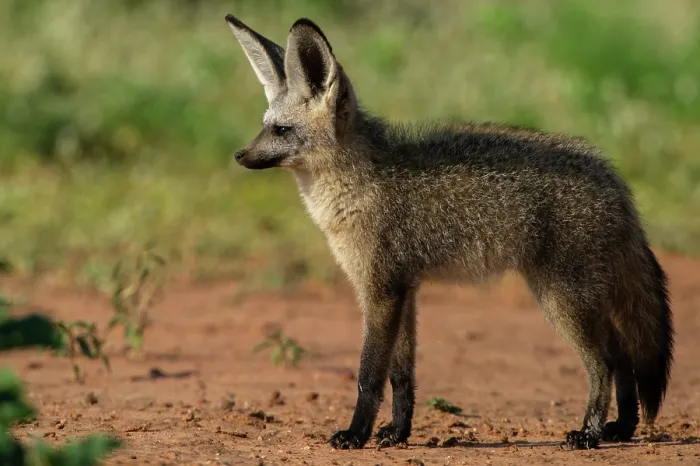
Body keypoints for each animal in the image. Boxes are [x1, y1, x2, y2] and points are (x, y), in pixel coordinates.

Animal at [224, 14, 674, 450]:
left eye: (281, 130)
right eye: (265, 126)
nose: (239, 155)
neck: (358, 187)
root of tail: (614, 180)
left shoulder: (380, 291)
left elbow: (369, 376)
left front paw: (356, 435)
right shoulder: (404, 291)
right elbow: (401, 376)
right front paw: (397, 433)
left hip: (560, 300)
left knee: (606, 363)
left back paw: (590, 434)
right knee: (624, 357)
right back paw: (622, 428)